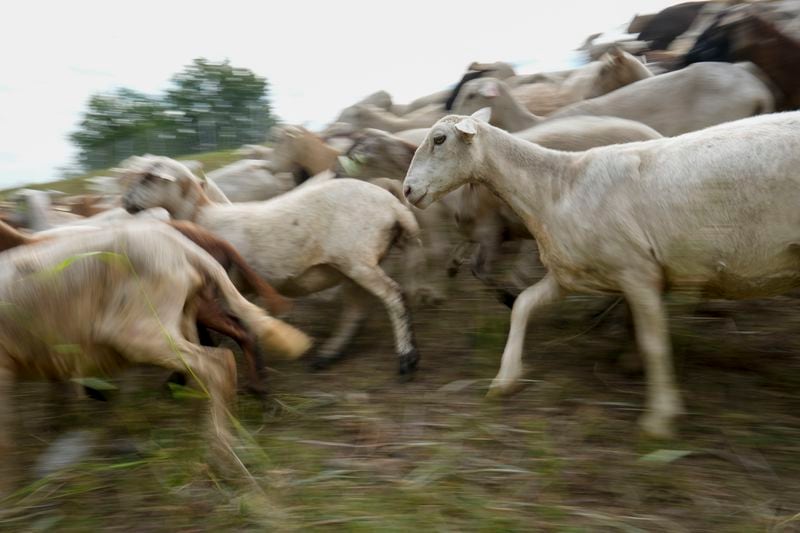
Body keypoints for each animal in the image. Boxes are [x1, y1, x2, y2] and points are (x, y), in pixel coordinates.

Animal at [404, 110, 800, 438]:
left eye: (439, 139)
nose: (407, 190)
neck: (556, 187)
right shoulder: (570, 274)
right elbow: (523, 306)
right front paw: (506, 379)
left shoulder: (638, 272)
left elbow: (655, 344)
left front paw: (659, 418)